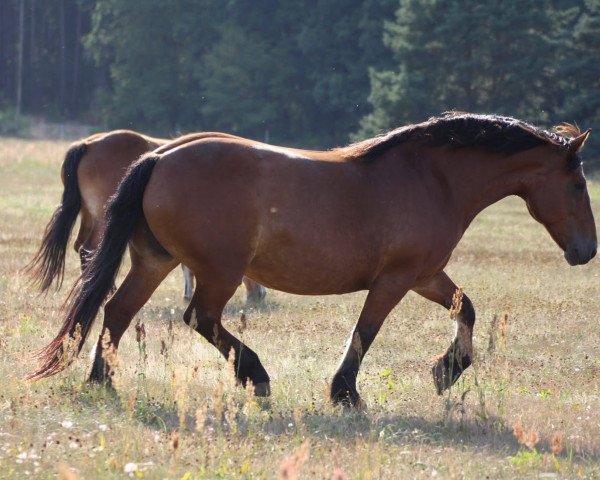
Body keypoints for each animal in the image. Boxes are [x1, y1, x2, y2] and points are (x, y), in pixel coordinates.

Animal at [25, 129, 264, 302]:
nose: (260, 294)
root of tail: (87, 144)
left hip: (89, 215)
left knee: (81, 247)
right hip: (102, 218)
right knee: (88, 250)